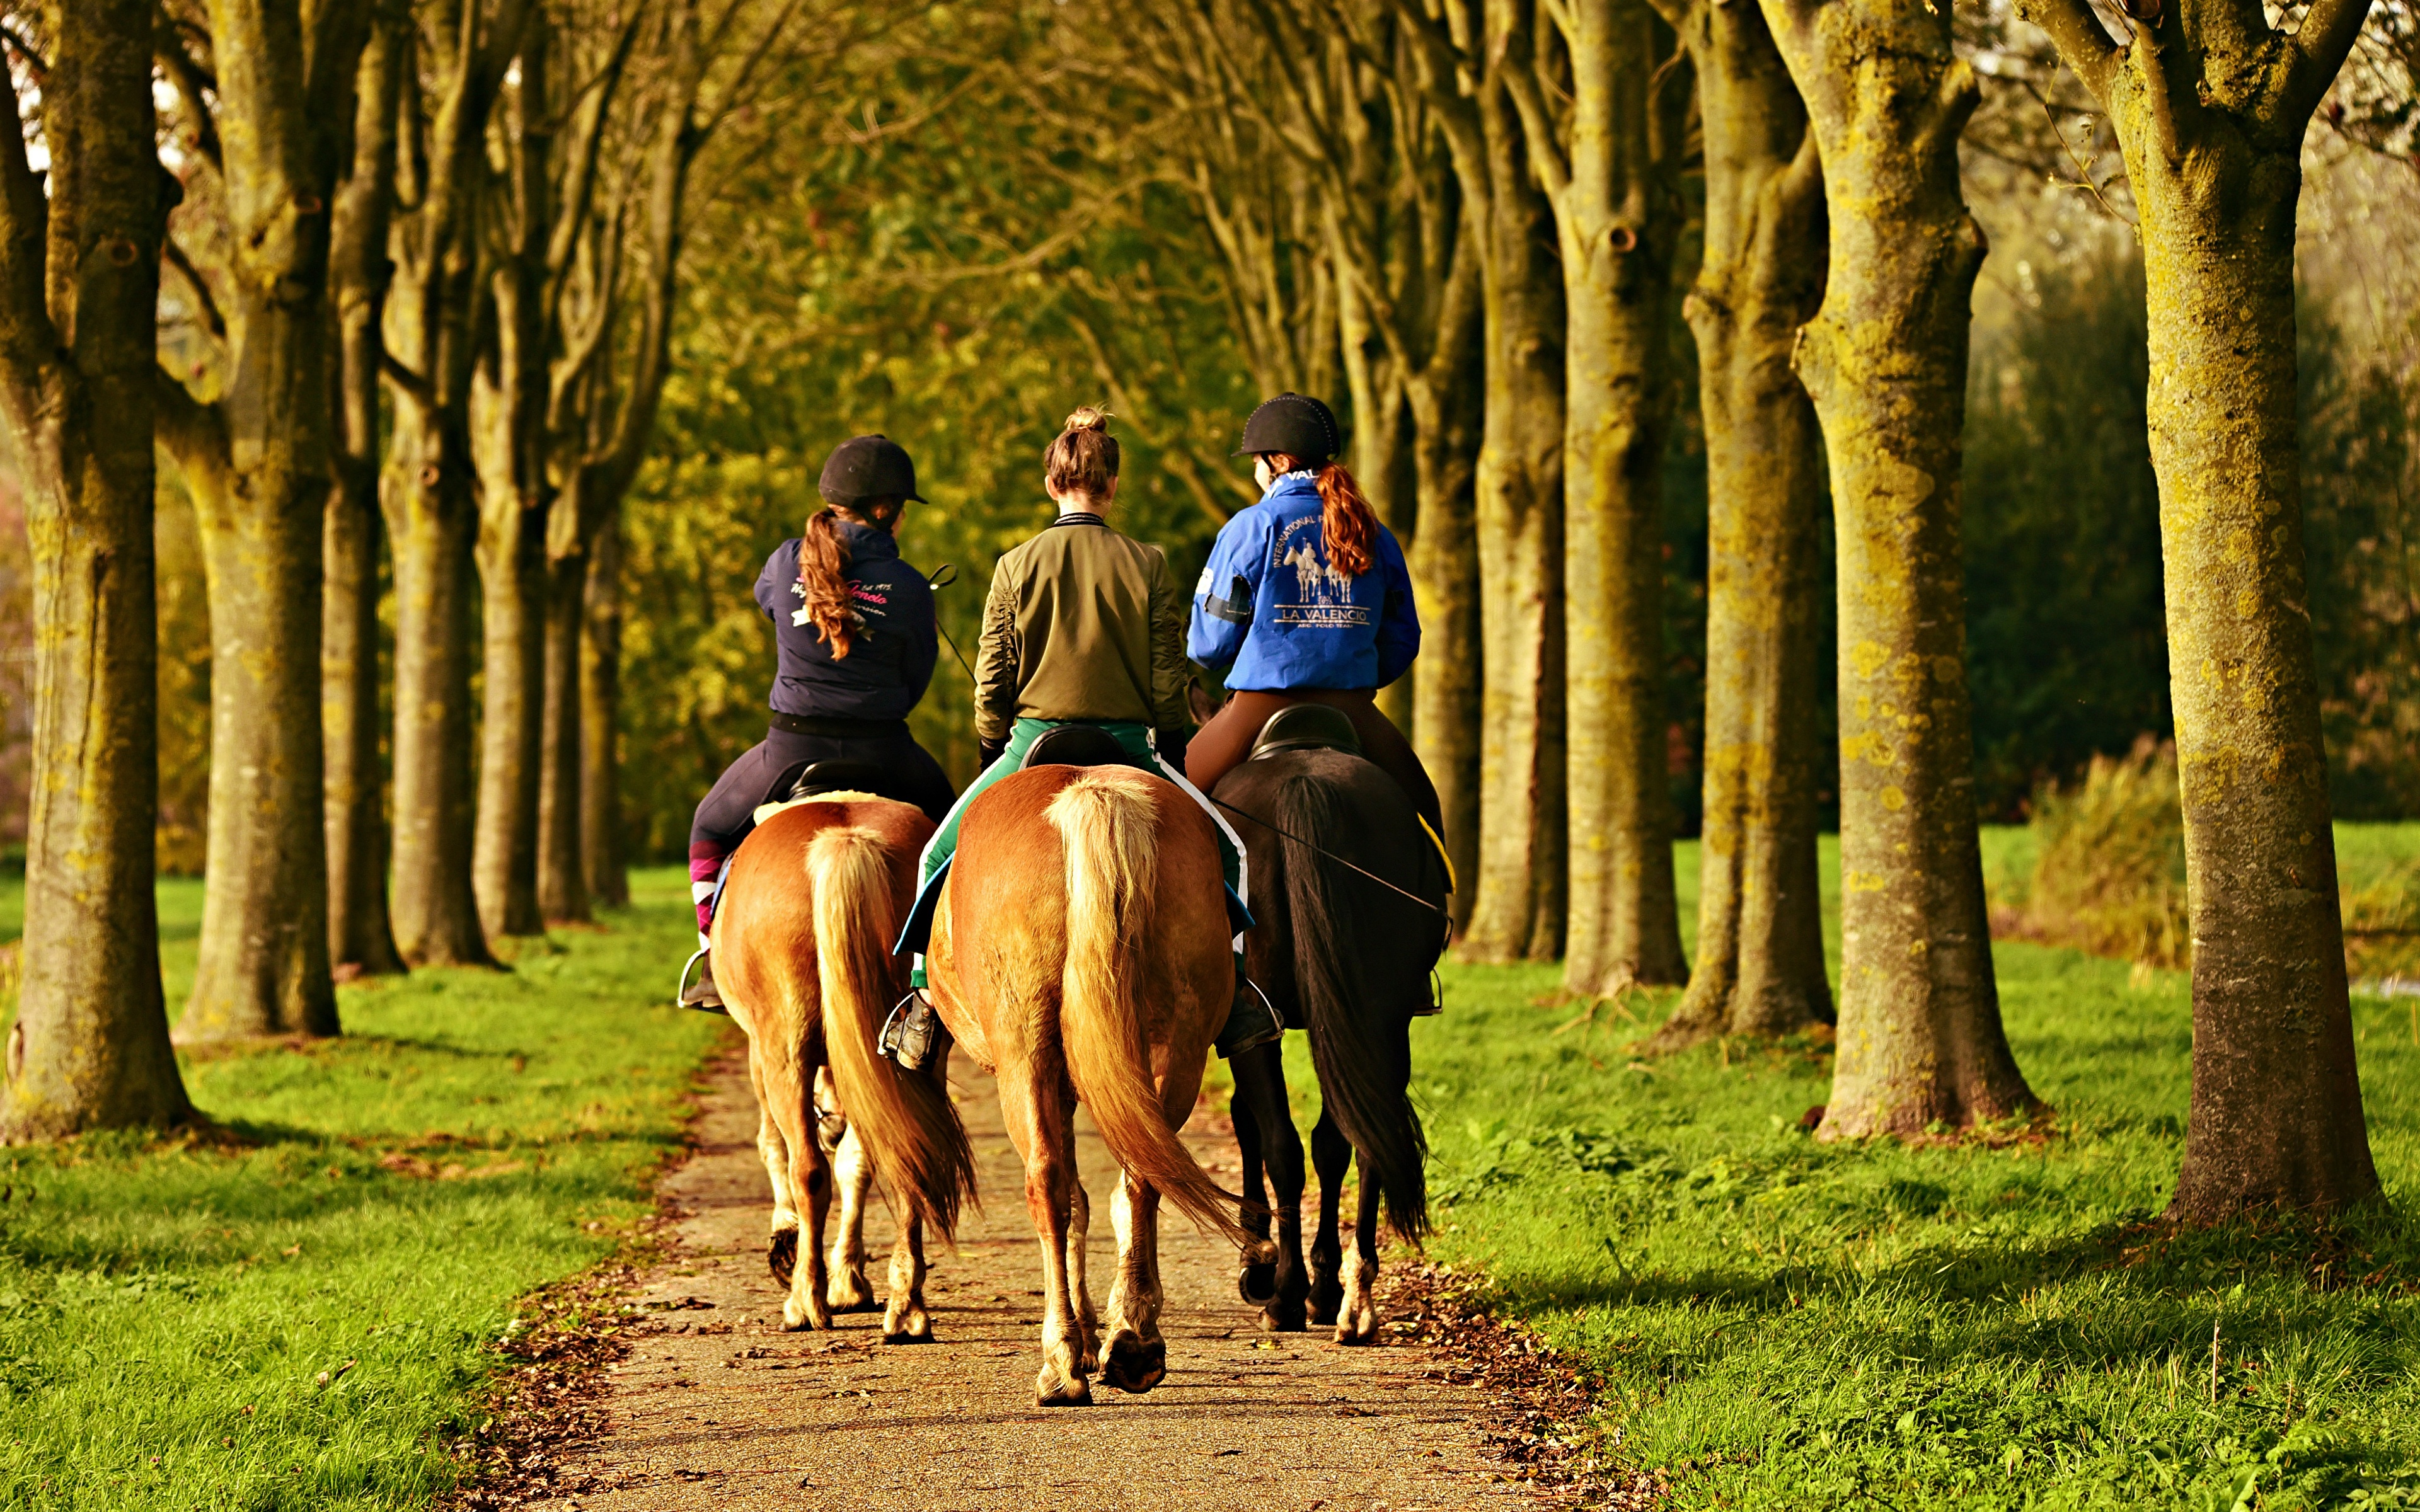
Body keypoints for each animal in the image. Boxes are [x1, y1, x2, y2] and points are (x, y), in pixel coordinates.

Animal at [711, 788, 977, 1335]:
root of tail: (845, 838)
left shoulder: (758, 1053)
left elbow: (773, 1145)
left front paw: (787, 1243)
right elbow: (857, 1161)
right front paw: (851, 1281)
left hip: (783, 1049)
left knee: (808, 1168)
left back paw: (805, 1301)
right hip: (916, 1055)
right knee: (906, 1154)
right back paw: (906, 1306)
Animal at [914, 755, 1277, 1403]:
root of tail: (1092, 792)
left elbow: (1071, 1197)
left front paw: (1081, 1336)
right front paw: (1102, 1333)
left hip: (1024, 1050)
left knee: (1046, 1180)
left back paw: (1062, 1359)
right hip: (1175, 1045)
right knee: (1143, 1175)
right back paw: (1133, 1340)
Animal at [1205, 726, 1432, 1335]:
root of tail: (1304, 784)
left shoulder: (1251, 1032)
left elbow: (1250, 1125)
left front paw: (1258, 1263)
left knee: (1284, 1145)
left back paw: (1287, 1293)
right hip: (1379, 1019)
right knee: (1354, 1138)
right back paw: (1346, 1295)